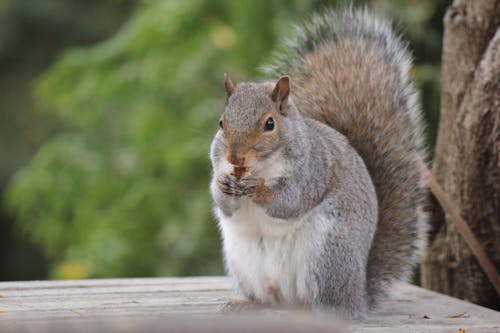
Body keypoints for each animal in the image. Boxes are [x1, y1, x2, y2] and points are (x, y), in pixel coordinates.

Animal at [209, 7, 428, 318]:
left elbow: (290, 201)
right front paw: (223, 183)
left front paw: (258, 189)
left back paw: (322, 310)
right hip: (244, 264)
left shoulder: (312, 170)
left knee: (330, 304)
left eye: (269, 124)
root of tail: (359, 295)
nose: (234, 157)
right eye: (221, 123)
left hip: (329, 255)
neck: (260, 165)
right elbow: (224, 204)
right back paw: (248, 304)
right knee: (268, 300)